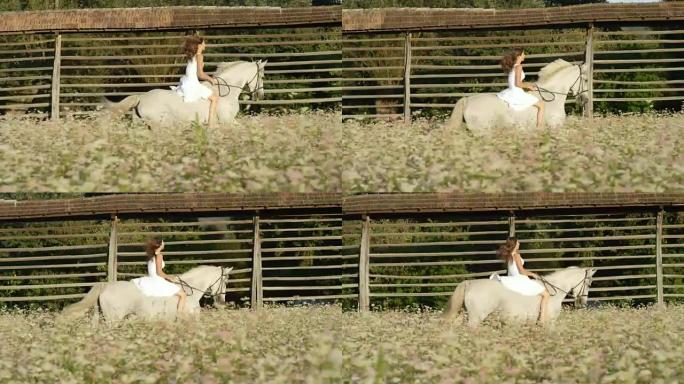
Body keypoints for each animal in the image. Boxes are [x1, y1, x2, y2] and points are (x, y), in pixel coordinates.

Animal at [444, 268, 592, 328]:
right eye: (589, 283)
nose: (583, 303)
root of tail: (469, 283)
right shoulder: (550, 323)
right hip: (474, 318)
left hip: (463, 315)